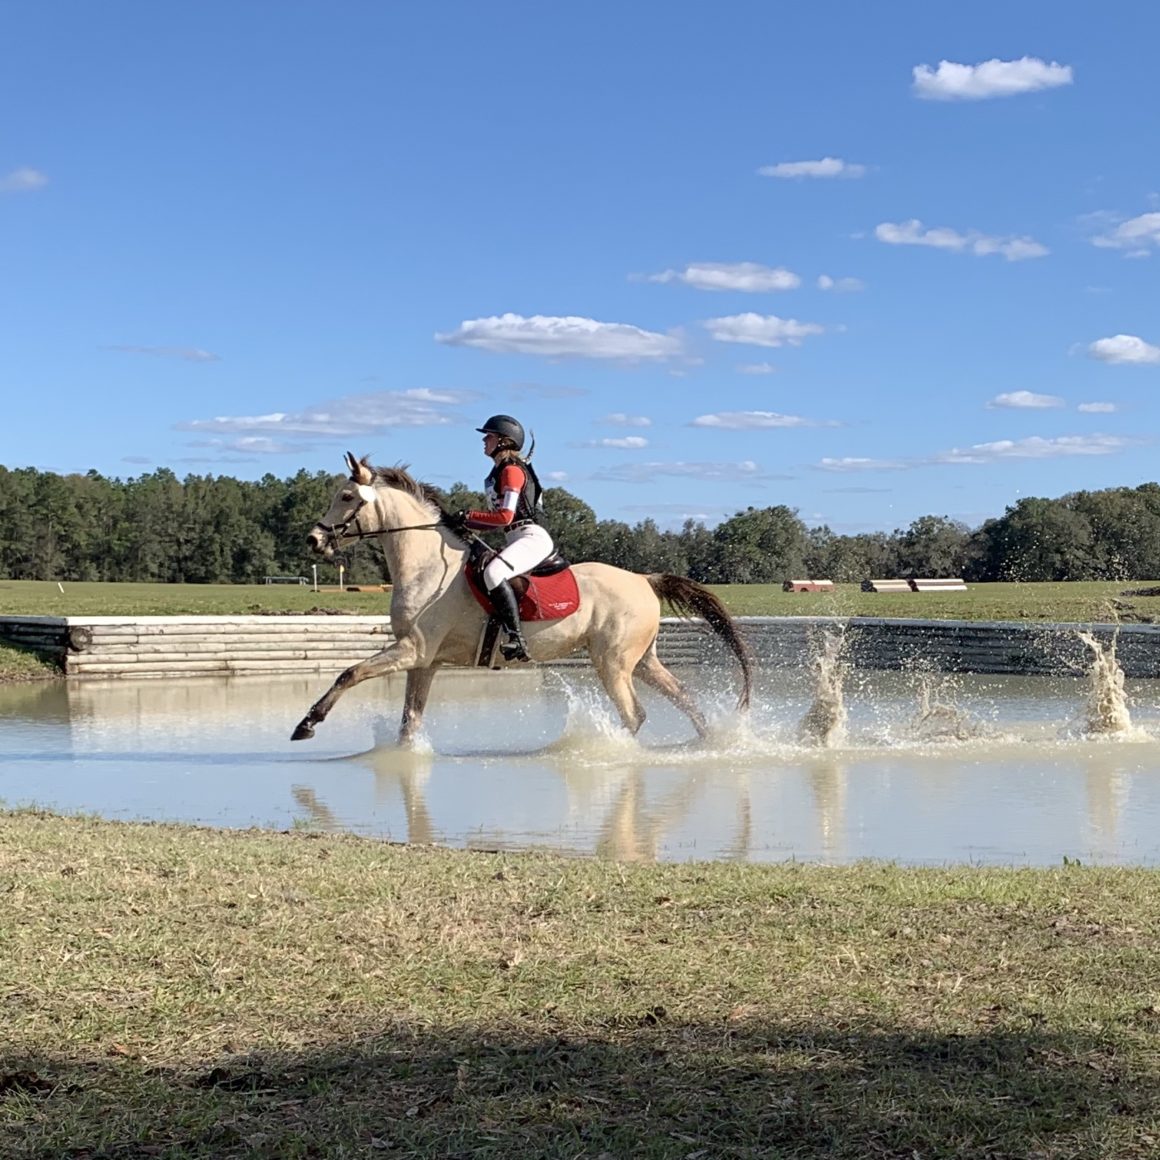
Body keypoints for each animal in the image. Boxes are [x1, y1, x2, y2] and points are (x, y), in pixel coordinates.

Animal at [291, 452, 753, 746]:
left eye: (346, 497)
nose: (314, 539)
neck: (425, 567)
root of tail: (644, 579)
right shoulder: (424, 661)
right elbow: (410, 720)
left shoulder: (411, 650)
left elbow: (349, 674)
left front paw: (307, 723)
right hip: (640, 660)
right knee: (683, 697)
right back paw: (707, 743)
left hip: (613, 662)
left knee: (634, 714)